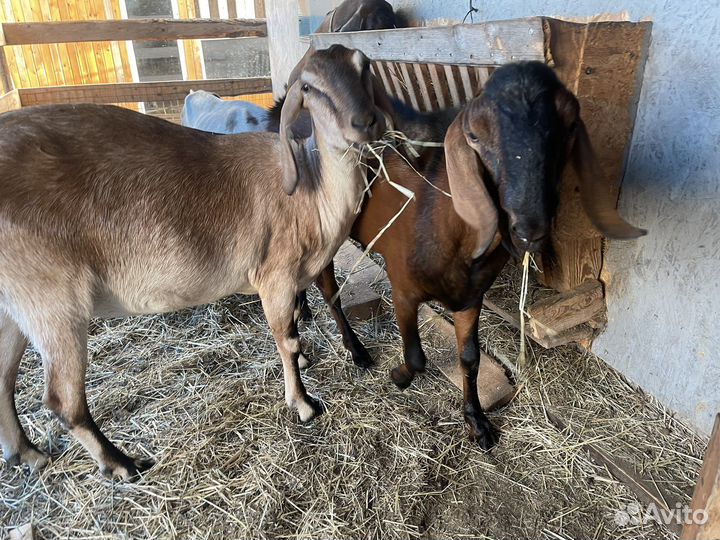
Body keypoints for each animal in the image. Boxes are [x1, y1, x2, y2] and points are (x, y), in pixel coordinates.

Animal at [0, 45, 393, 480]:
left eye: (364, 66)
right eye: (308, 87)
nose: (366, 122)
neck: (310, 192)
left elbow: (298, 326)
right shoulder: (274, 274)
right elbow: (285, 339)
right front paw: (304, 404)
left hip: (15, 306)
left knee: (3, 379)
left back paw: (28, 454)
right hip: (52, 298)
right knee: (63, 400)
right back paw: (123, 464)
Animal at [317, 61, 646, 450]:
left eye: (569, 125)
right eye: (473, 135)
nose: (529, 227)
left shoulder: (471, 297)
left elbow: (470, 359)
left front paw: (477, 422)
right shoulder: (403, 288)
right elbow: (416, 355)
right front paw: (399, 375)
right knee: (328, 291)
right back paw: (356, 351)